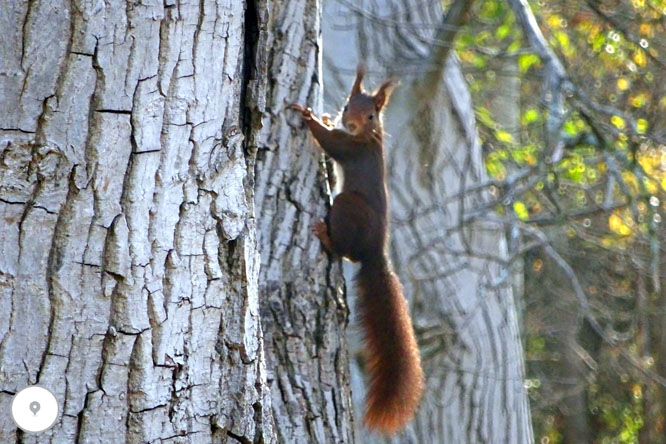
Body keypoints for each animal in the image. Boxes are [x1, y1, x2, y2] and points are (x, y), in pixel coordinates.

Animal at [290, 67, 422, 436]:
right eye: (348, 105)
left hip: (348, 206)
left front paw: (308, 116)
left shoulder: (350, 148)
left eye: (372, 115)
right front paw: (322, 116)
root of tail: (376, 250)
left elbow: (330, 142)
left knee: (344, 248)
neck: (368, 136)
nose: (349, 123)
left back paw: (326, 236)